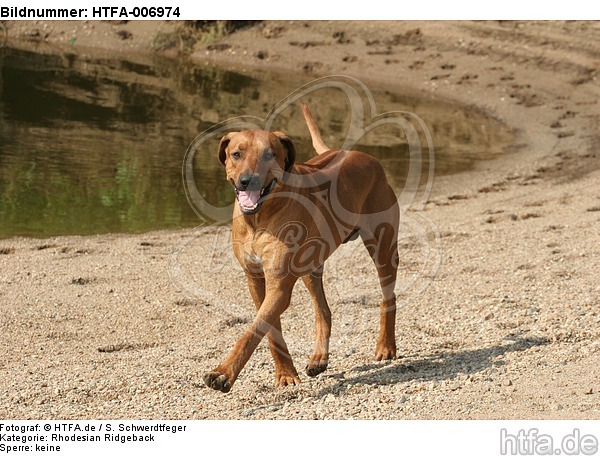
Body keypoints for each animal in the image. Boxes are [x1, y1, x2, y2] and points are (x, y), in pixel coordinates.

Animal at [204, 102, 400, 392]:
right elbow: (270, 329)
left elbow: (253, 330)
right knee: (324, 310)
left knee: (388, 295)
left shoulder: (279, 283)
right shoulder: (255, 279)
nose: (247, 181)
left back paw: (386, 346)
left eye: (270, 155)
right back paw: (319, 358)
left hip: (382, 246)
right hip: (311, 265)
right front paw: (285, 373)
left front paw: (223, 373)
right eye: (236, 154)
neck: (259, 219)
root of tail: (359, 154)